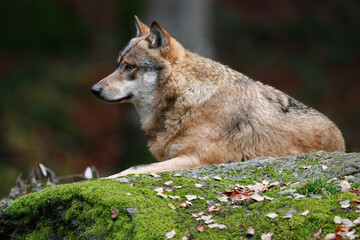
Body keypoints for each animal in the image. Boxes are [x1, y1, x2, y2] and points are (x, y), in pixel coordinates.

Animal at [91, 15, 344, 178]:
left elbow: (131, 169)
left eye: (130, 67)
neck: (188, 97)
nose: (94, 89)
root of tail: (341, 140)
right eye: (118, 64)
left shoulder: (196, 159)